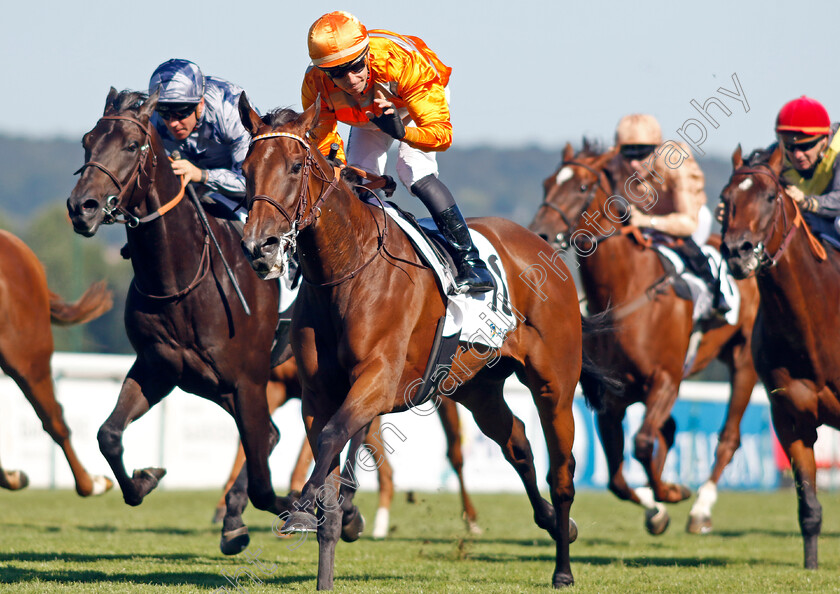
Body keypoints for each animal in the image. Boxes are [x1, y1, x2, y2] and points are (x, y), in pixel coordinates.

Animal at [65, 89, 296, 556]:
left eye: (132, 146)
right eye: (87, 141)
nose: (82, 207)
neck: (183, 279)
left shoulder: (247, 380)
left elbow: (265, 483)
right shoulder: (160, 367)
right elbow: (108, 434)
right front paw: (145, 478)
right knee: (271, 435)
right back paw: (233, 520)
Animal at [236, 98, 604, 588]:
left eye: (296, 166)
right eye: (246, 168)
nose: (261, 247)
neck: (347, 268)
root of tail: (545, 248)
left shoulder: (378, 380)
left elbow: (335, 437)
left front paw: (303, 506)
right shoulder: (316, 394)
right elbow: (329, 458)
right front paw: (324, 548)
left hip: (554, 386)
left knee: (561, 473)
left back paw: (563, 567)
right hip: (476, 387)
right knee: (517, 442)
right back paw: (550, 521)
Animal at [532, 142, 760, 532]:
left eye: (581, 187)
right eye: (547, 183)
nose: (540, 233)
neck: (627, 290)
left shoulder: (666, 381)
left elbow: (640, 445)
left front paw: (669, 493)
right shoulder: (611, 399)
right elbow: (617, 479)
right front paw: (657, 506)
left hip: (744, 360)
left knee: (727, 438)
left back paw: (700, 509)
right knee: (667, 432)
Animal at [716, 145, 840, 568]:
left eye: (770, 197)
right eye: (726, 199)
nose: (737, 251)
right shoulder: (790, 419)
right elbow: (810, 508)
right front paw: (812, 566)